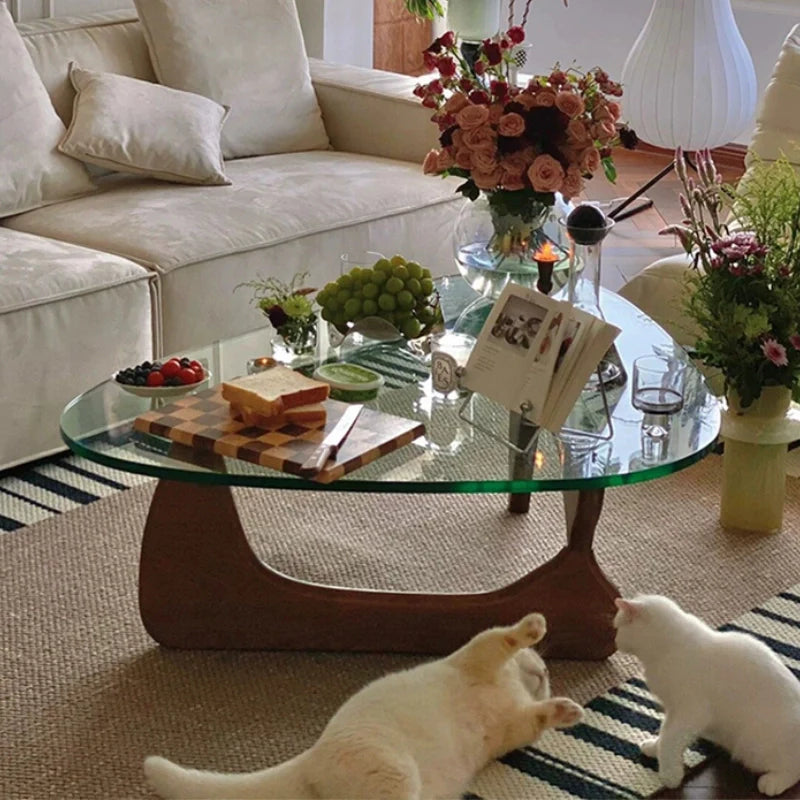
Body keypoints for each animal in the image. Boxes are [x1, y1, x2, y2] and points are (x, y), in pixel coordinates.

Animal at [145, 612, 580, 792]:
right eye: (540, 659)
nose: (545, 671)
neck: (510, 688)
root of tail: (312, 754)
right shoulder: (477, 655)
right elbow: (504, 637)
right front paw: (534, 627)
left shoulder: (512, 730)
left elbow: (537, 718)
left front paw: (567, 710)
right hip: (395, 774)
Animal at [612, 592, 800, 792]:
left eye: (618, 628)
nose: (615, 642)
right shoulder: (674, 711)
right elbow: (665, 733)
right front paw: (655, 747)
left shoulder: (690, 712)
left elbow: (670, 740)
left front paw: (670, 775)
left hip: (752, 746)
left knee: (794, 768)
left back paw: (773, 782)